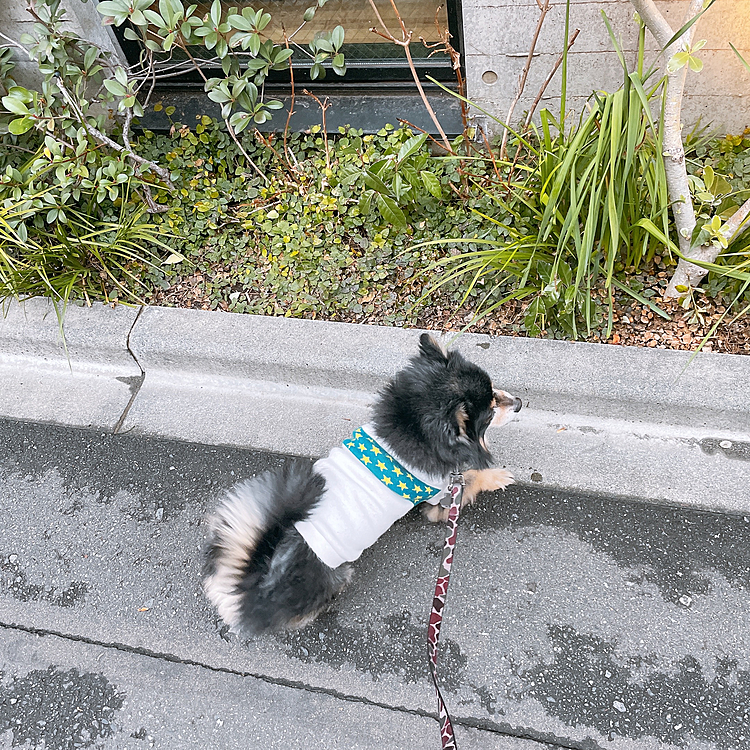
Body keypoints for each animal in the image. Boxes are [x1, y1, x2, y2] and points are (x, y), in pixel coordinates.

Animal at [204, 334, 524, 636]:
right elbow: (471, 478)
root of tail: (248, 588)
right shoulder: (441, 497)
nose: (520, 403)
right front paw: (497, 476)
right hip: (331, 575)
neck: (412, 425)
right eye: (491, 409)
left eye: (494, 389)